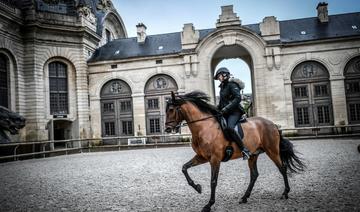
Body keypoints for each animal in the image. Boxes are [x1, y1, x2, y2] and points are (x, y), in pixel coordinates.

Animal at [165, 90, 306, 212]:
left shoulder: (215, 159)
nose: (167, 129)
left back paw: (285, 193)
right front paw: (197, 187)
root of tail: (273, 124)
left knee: (282, 168)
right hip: (253, 155)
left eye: (171, 110)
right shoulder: (202, 157)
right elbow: (184, 168)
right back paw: (244, 197)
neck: (204, 128)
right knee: (254, 175)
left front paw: (209, 204)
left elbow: (213, 181)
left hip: (273, 151)